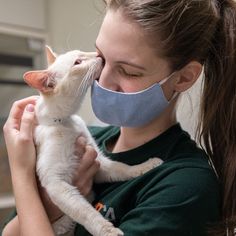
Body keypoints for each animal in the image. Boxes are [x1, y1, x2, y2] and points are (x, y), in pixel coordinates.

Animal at [23, 46, 162, 236]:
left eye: (81, 53)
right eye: (78, 63)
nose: (98, 56)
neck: (66, 122)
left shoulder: (99, 164)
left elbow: (122, 168)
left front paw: (146, 166)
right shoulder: (55, 181)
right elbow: (85, 212)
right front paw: (108, 231)